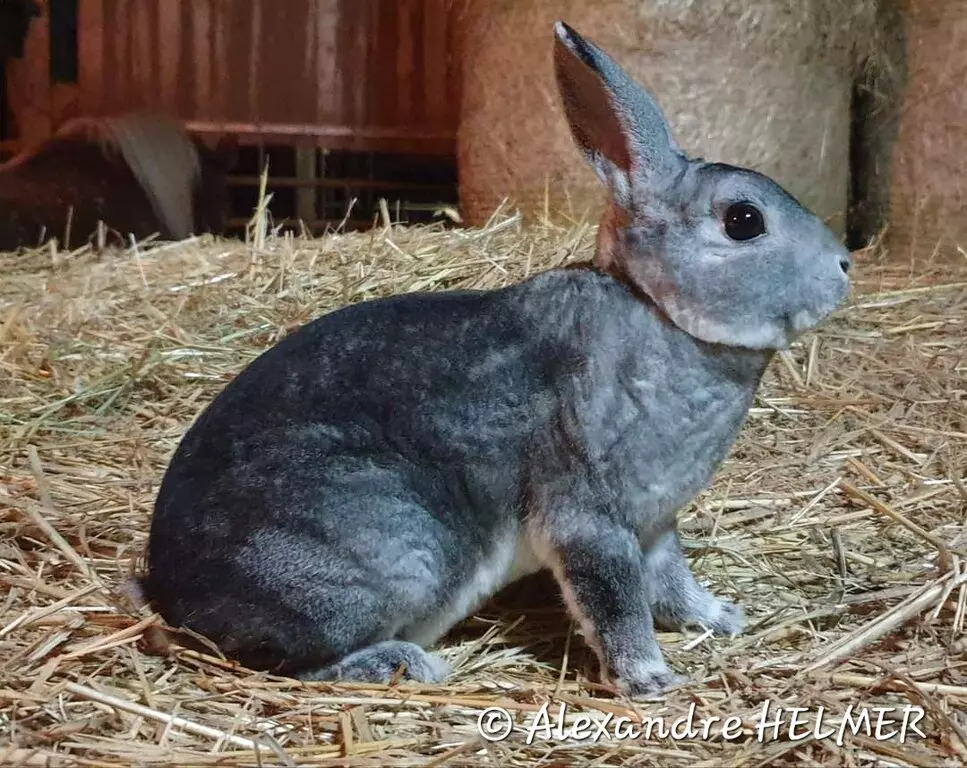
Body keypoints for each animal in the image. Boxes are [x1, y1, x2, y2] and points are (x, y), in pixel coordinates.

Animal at [141, 21, 851, 697]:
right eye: (743, 220)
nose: (844, 266)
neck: (659, 317)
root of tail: (173, 596)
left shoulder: (653, 526)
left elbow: (672, 581)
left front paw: (721, 617)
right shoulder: (588, 517)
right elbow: (615, 604)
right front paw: (650, 680)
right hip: (390, 550)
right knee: (295, 661)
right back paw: (404, 665)